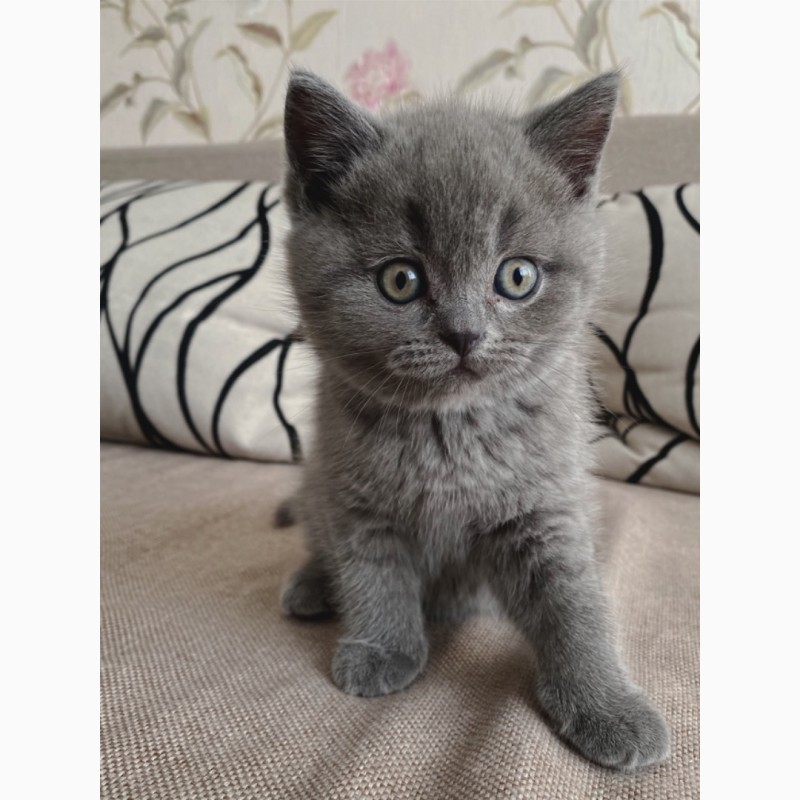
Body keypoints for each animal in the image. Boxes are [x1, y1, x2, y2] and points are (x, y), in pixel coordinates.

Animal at [278, 72, 672, 772]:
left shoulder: (545, 506)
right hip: (318, 480)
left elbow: (574, 602)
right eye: (400, 280)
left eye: (517, 276)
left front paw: (609, 706)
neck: (450, 431)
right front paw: (381, 649)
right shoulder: (355, 496)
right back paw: (312, 585)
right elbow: (374, 575)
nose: (464, 334)